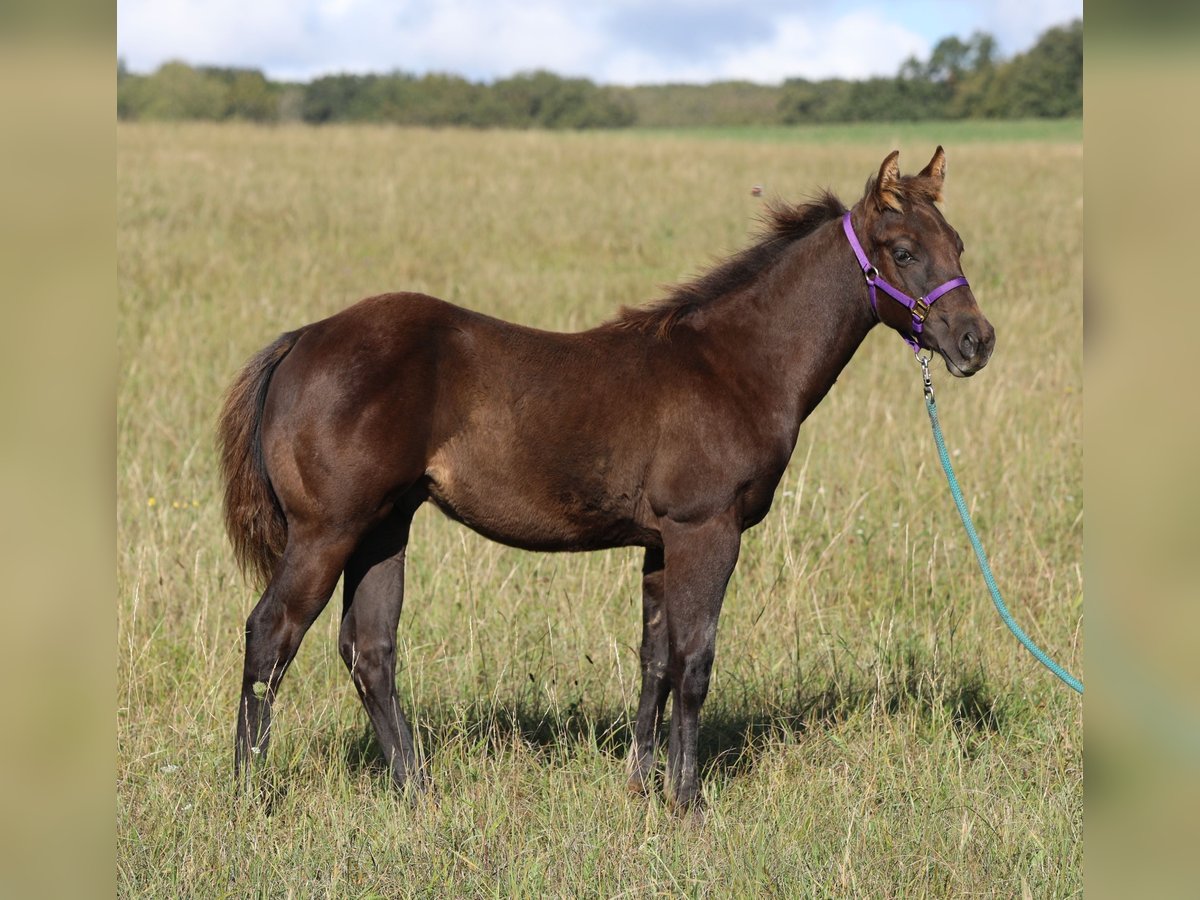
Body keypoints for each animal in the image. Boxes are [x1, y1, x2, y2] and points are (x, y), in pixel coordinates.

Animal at [218, 148, 993, 811]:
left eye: (958, 243)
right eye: (903, 251)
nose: (975, 342)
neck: (733, 364)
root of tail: (302, 339)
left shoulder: (659, 543)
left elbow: (655, 659)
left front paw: (641, 785)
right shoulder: (706, 530)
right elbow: (695, 660)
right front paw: (688, 801)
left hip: (384, 528)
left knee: (369, 650)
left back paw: (419, 792)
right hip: (329, 531)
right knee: (271, 634)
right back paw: (249, 794)